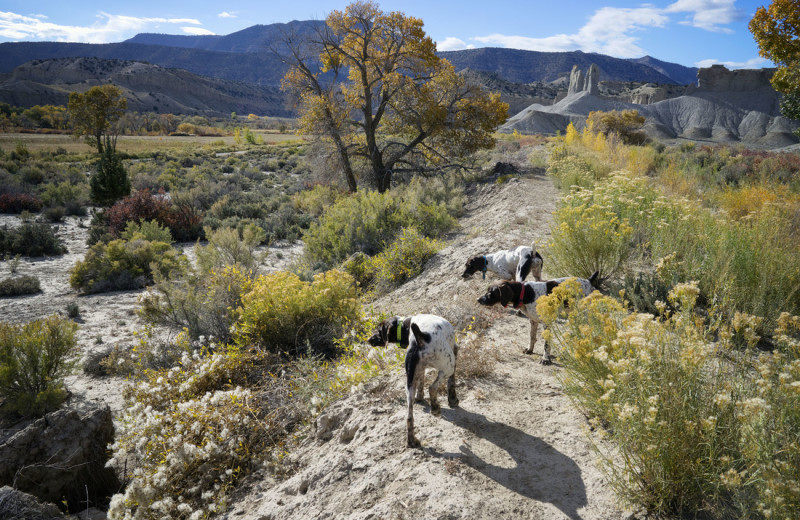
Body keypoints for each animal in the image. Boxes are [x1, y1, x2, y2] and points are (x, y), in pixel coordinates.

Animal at [368, 312, 456, 446]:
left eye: (378, 331)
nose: (369, 340)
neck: (406, 326)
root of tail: (421, 337)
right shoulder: (455, 350)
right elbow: (451, 381)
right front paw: (453, 399)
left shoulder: (420, 370)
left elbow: (421, 384)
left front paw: (420, 398)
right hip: (448, 366)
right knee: (432, 388)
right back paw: (435, 409)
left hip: (409, 385)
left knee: (409, 417)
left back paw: (412, 440)